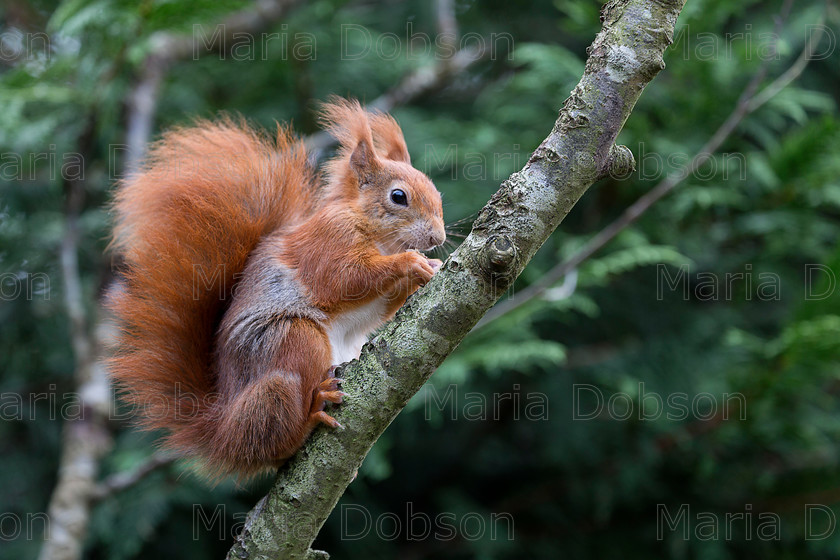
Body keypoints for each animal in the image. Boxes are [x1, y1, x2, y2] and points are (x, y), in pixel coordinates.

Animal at [108, 97, 446, 476]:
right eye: (398, 196)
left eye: (436, 192)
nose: (438, 238)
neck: (379, 237)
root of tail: (222, 430)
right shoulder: (326, 243)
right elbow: (345, 279)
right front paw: (409, 263)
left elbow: (378, 309)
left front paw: (427, 270)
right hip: (290, 345)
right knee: (277, 442)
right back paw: (313, 412)